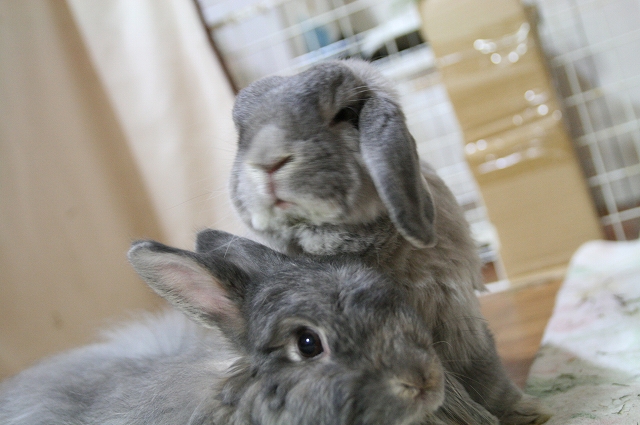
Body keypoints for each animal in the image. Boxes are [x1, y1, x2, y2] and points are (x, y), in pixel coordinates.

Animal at [229, 59, 550, 425]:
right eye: (242, 133)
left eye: (345, 113)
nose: (267, 162)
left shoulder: (458, 321)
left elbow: (486, 373)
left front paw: (529, 413)